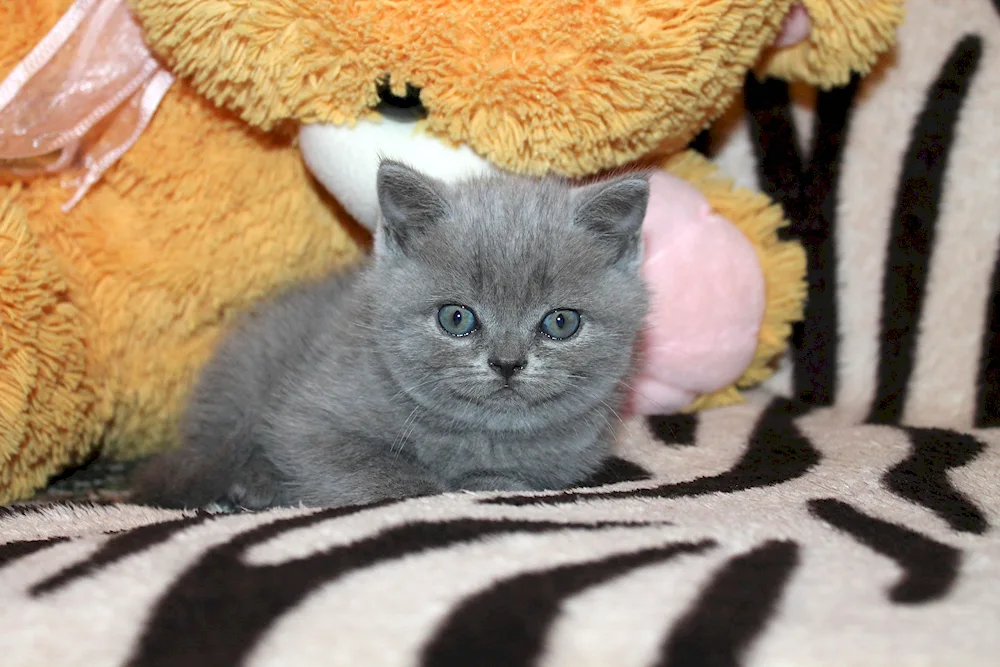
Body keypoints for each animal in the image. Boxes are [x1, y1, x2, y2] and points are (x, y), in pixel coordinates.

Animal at [131, 159, 648, 508]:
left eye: (560, 323)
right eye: (456, 319)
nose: (507, 362)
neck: (479, 434)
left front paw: (491, 481)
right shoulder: (309, 421)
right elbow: (385, 473)